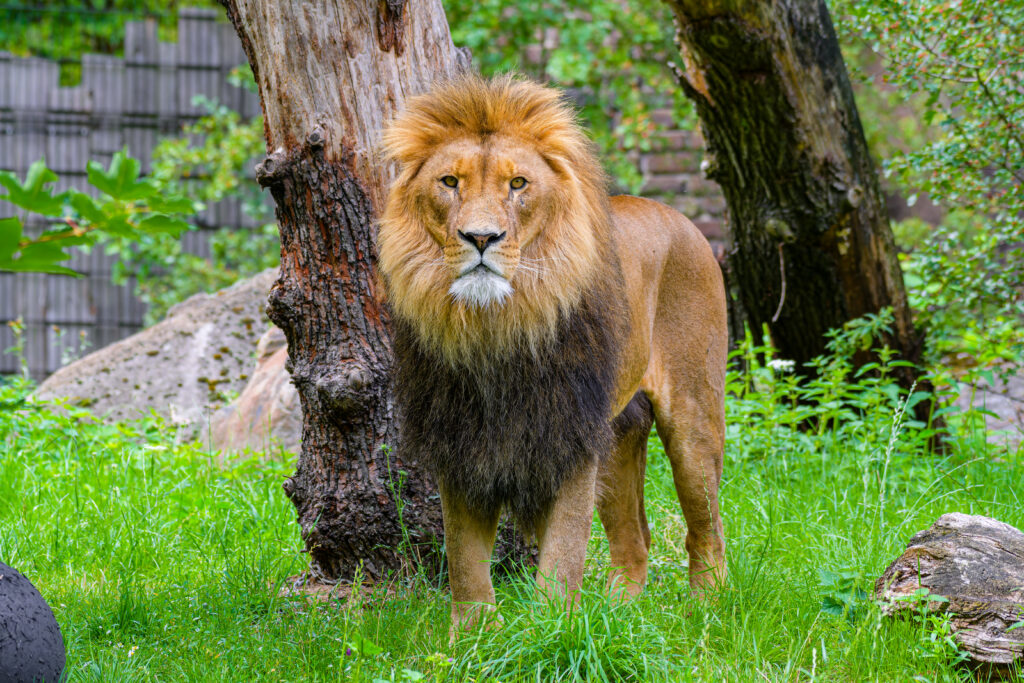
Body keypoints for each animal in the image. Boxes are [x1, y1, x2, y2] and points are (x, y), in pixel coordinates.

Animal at [377, 74, 727, 630]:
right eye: (449, 182)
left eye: (518, 184)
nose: (481, 237)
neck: (495, 330)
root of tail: (678, 216)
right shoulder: (459, 445)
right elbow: (465, 561)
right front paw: (471, 637)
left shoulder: (570, 437)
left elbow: (562, 556)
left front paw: (554, 630)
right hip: (619, 434)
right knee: (635, 540)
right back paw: (619, 617)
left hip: (693, 417)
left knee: (707, 527)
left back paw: (704, 613)